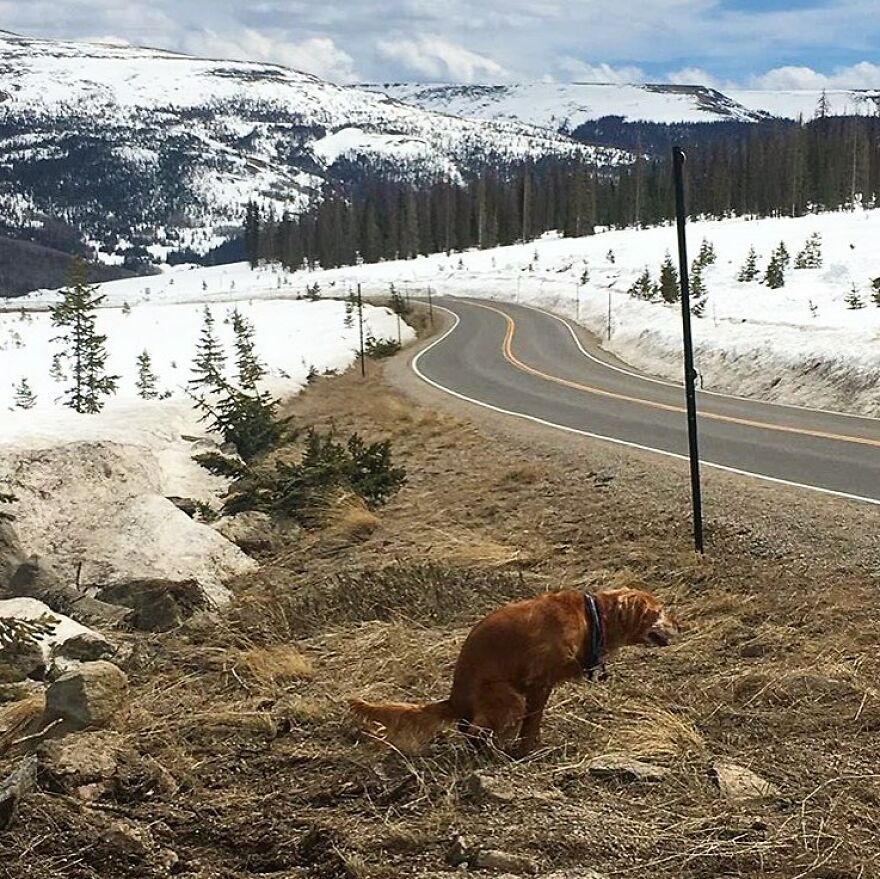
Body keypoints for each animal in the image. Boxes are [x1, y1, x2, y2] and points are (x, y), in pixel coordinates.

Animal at [350, 588, 680, 752]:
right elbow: (532, 724)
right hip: (508, 697)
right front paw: (529, 750)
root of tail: (454, 700)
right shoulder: (538, 683)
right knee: (477, 731)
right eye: (659, 611)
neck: (591, 618)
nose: (680, 625)